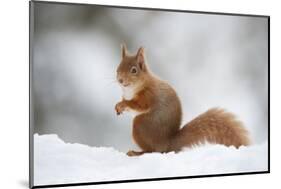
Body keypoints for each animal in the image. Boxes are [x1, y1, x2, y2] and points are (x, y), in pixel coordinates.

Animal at [114, 44, 249, 157]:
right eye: (118, 68)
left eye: (134, 70)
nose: (120, 80)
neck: (132, 88)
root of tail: (167, 144)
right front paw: (118, 107)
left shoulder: (148, 95)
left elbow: (139, 105)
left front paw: (123, 104)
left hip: (140, 125)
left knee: (152, 150)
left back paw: (137, 153)